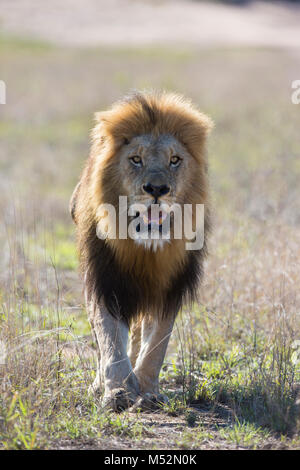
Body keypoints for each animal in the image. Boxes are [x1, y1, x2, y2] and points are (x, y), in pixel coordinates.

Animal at [70, 90, 212, 410]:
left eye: (175, 160)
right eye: (136, 159)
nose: (157, 190)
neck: (146, 249)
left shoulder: (171, 286)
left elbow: (157, 342)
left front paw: (147, 391)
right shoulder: (105, 281)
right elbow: (110, 338)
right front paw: (118, 392)